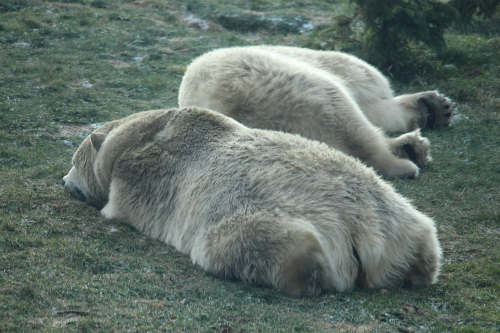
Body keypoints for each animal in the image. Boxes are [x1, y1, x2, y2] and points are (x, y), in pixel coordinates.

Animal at [62, 107, 442, 296]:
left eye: (74, 161)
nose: (65, 183)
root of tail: (360, 226)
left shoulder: (138, 178)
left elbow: (118, 207)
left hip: (243, 219)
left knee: (249, 244)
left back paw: (305, 273)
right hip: (392, 212)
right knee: (421, 235)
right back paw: (419, 265)